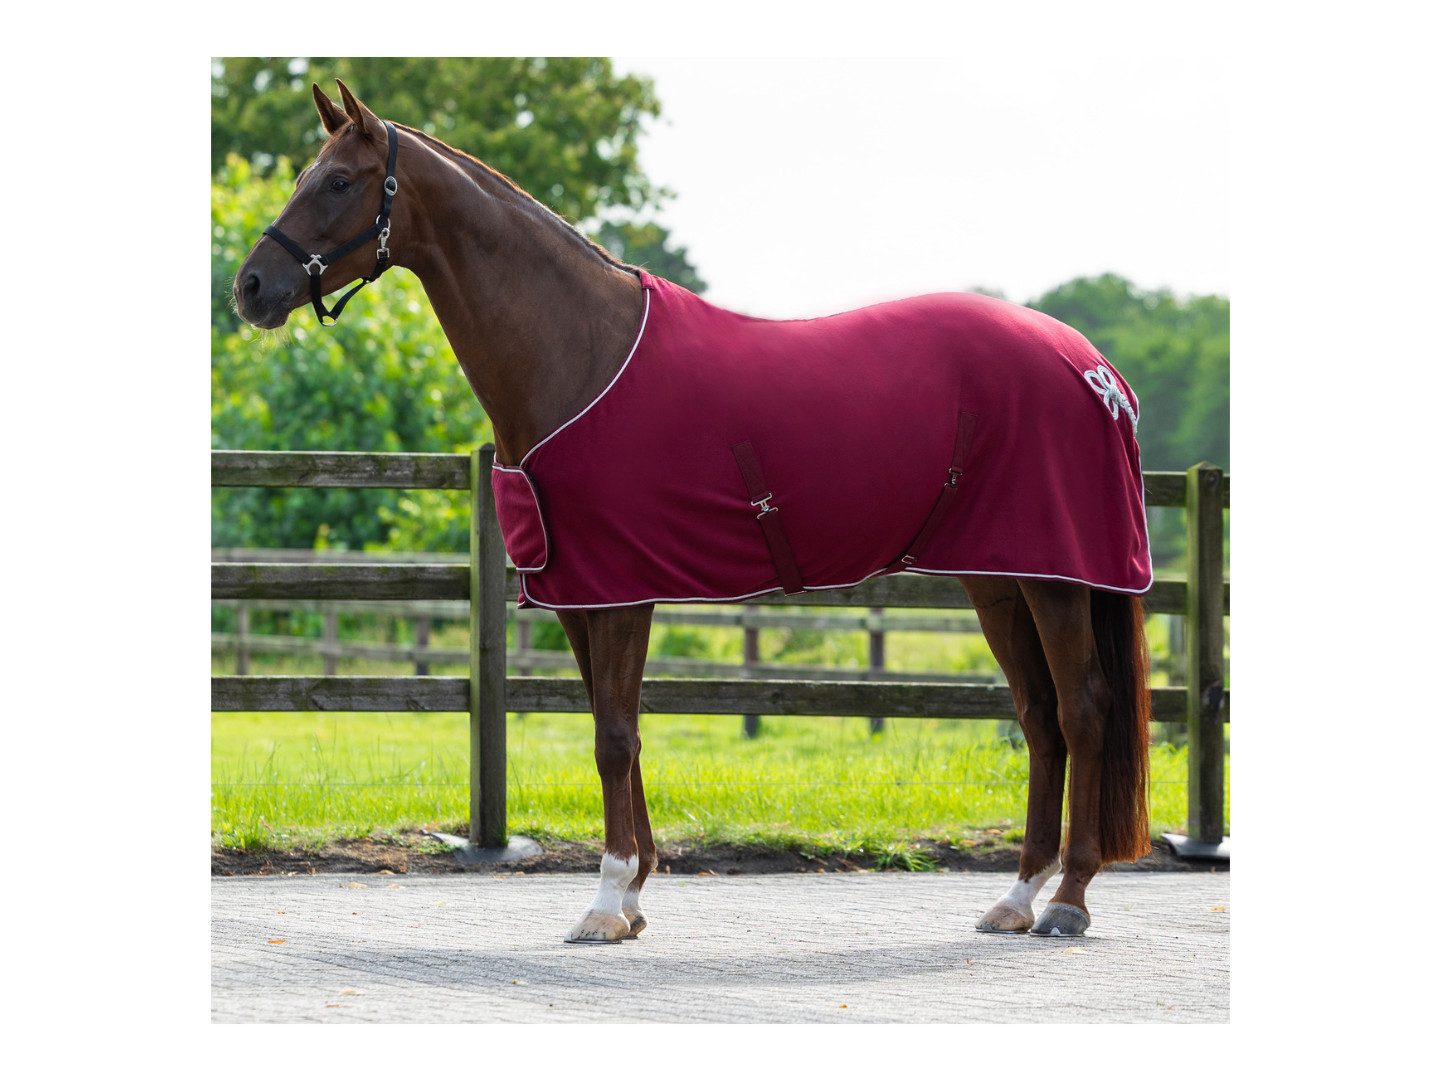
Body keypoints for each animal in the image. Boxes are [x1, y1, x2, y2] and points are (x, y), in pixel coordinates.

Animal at [232, 81, 1152, 943]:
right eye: (305, 175)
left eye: (339, 181)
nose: (250, 288)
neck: (580, 351)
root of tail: (1094, 369)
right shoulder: (582, 593)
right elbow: (620, 731)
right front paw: (634, 895)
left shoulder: (621, 591)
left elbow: (612, 740)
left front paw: (606, 903)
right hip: (999, 576)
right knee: (1039, 719)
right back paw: (1017, 897)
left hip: (1058, 578)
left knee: (1083, 709)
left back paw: (1068, 900)